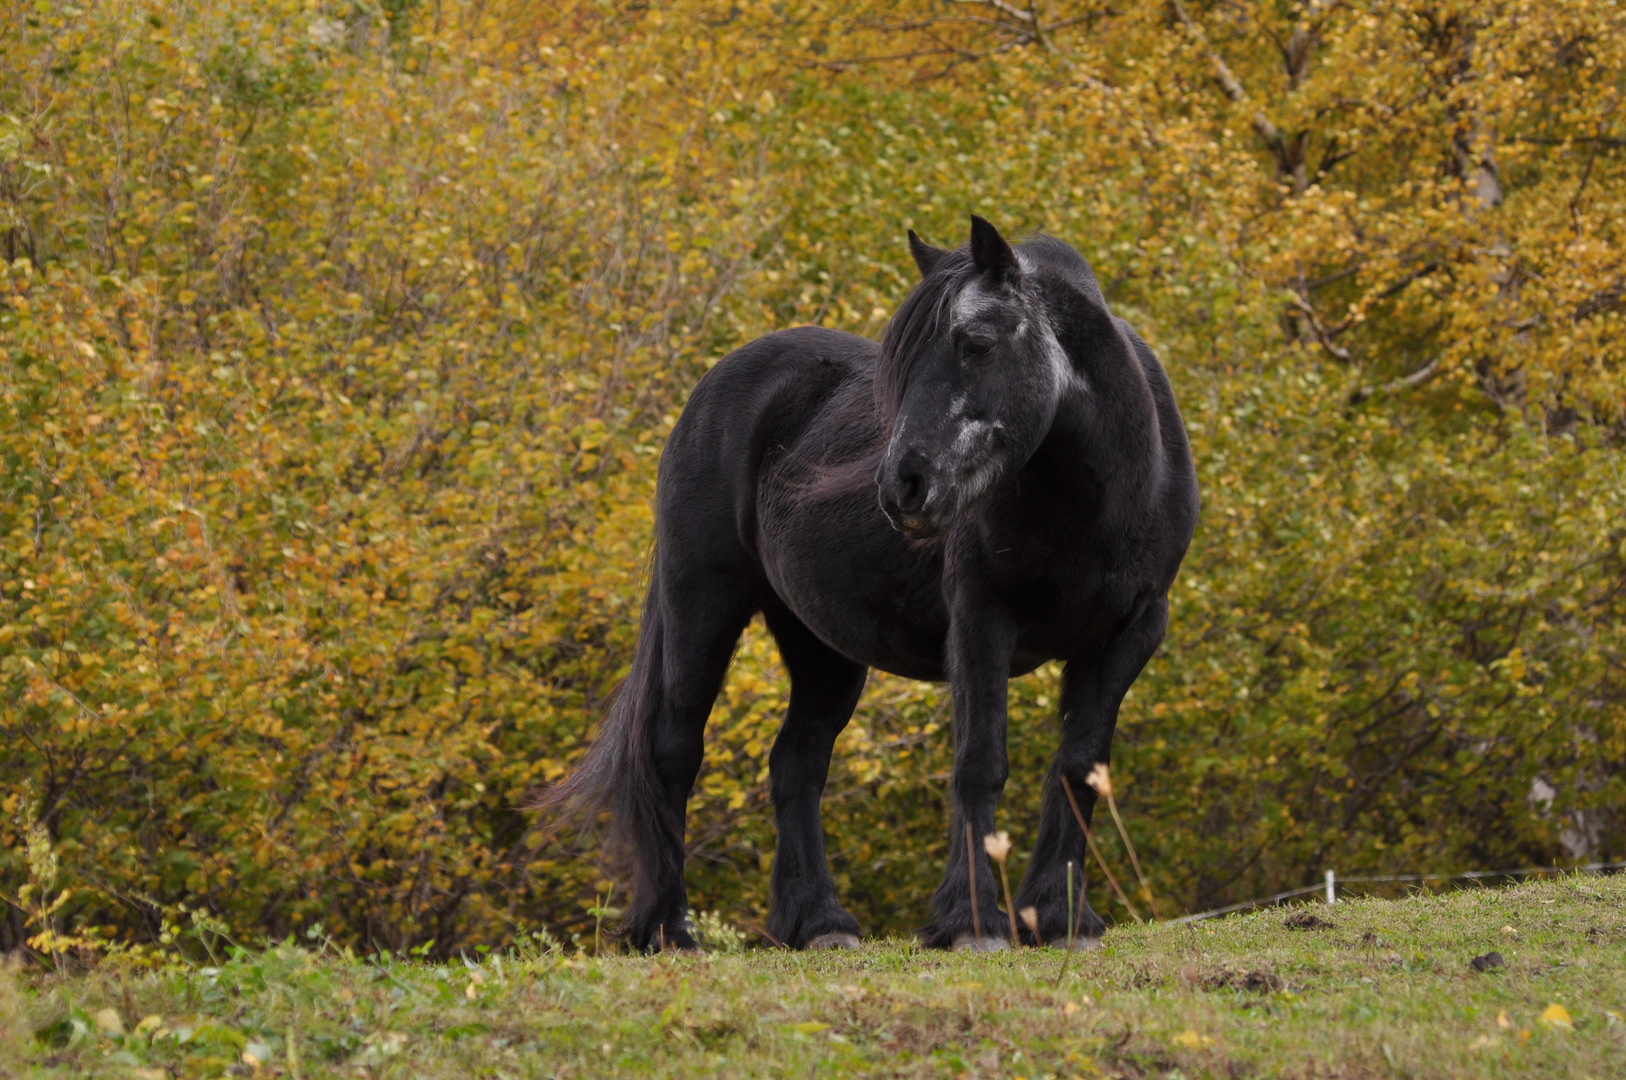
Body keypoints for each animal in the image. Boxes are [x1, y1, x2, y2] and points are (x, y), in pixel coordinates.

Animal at [552, 214, 1203, 949]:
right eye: (904, 361)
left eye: (976, 343)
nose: (903, 486)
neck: (1096, 500)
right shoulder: (982, 619)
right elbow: (981, 764)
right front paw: (971, 922)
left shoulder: (1130, 632)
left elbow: (1079, 768)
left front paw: (1061, 917)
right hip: (703, 604)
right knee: (673, 752)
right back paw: (668, 929)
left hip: (820, 646)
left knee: (796, 764)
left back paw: (819, 923)